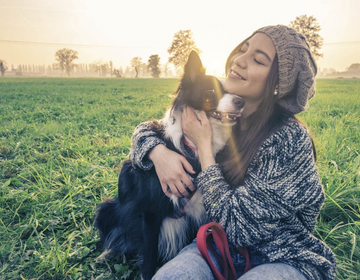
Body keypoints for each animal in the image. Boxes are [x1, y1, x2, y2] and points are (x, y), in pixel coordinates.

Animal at [95, 50, 245, 280]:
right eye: (211, 90)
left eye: (229, 89)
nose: (241, 101)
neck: (190, 145)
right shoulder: (149, 213)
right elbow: (148, 259)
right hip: (106, 209)